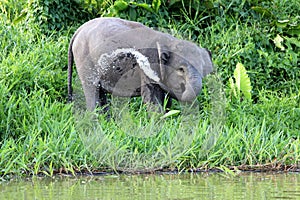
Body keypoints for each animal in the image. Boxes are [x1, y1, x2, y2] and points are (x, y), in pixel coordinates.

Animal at [68, 17, 213, 111]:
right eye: (181, 69)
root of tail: (78, 31)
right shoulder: (147, 68)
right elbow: (152, 98)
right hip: (84, 59)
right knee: (92, 90)